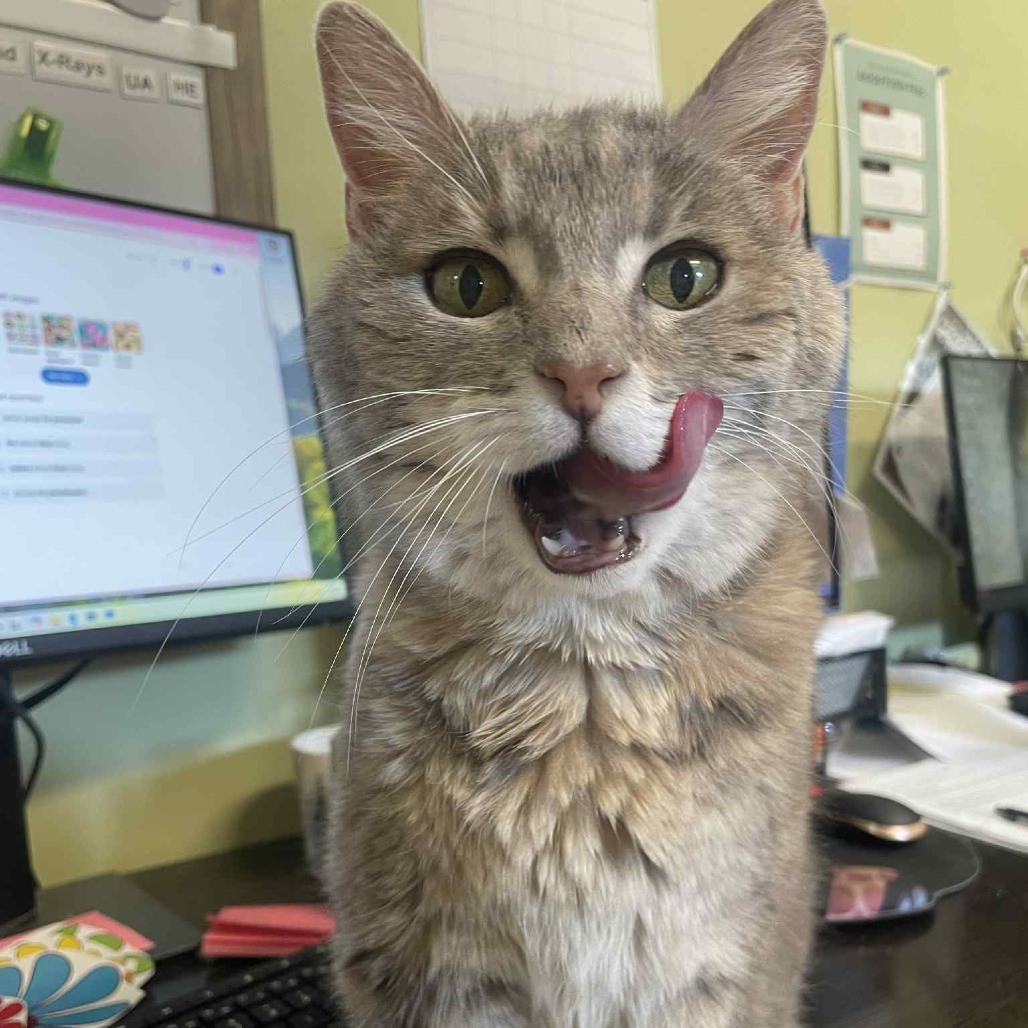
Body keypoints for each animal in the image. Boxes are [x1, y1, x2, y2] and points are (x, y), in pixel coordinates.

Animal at [308, 4, 838, 1023]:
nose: (582, 373)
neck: (585, 693)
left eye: (686, 277)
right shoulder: (431, 972)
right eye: (467, 285)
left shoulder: (726, 969)